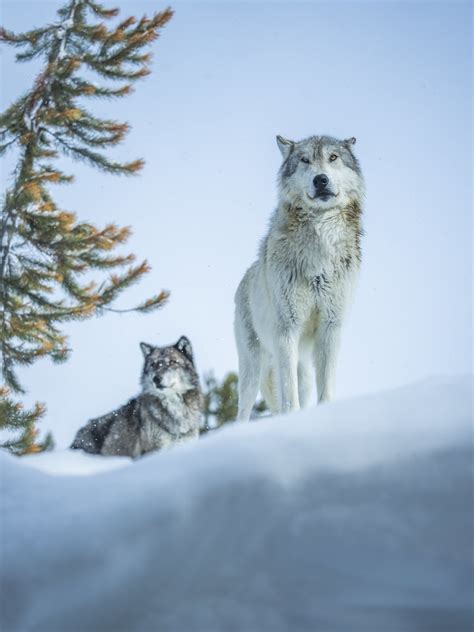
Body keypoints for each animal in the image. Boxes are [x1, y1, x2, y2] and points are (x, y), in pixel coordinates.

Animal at [235, 133, 364, 420]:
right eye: (305, 160)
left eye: (333, 157)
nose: (320, 179)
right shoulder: (287, 329)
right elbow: (288, 395)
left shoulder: (331, 327)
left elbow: (326, 388)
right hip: (253, 370)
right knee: (244, 410)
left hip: (302, 367)